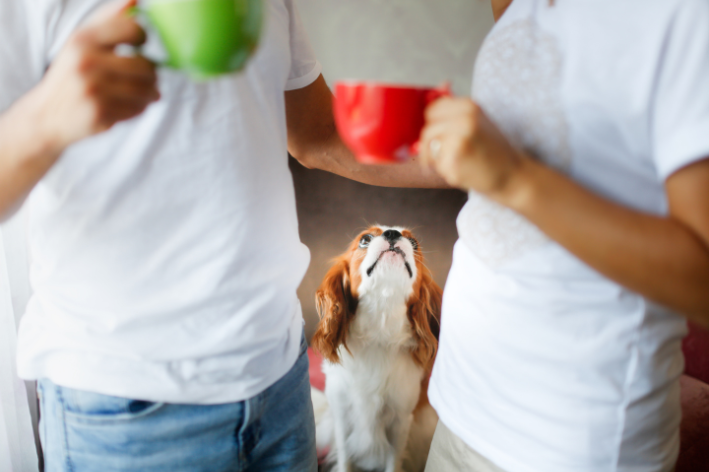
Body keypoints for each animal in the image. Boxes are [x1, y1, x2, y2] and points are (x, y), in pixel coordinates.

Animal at [312, 226, 440, 472]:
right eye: (365, 239)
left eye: (413, 242)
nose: (392, 233)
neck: (380, 329)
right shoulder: (342, 416)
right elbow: (345, 459)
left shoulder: (401, 422)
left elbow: (393, 462)